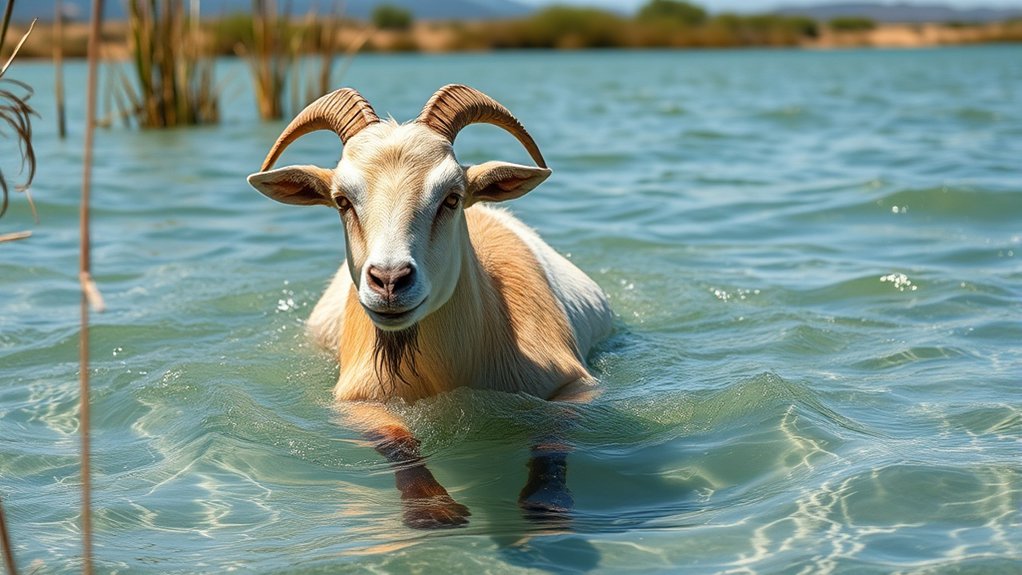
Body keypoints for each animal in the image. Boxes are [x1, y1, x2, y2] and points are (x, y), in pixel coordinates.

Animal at [248, 85, 613, 528]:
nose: (390, 280)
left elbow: (552, 435)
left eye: (451, 197)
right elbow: (397, 439)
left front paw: (546, 504)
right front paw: (433, 509)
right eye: (341, 200)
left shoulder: (575, 386)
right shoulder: (356, 402)